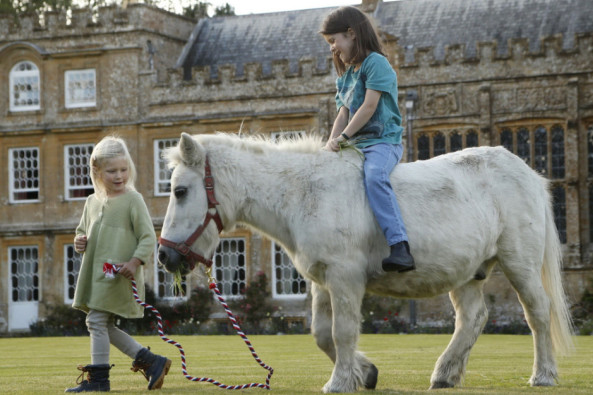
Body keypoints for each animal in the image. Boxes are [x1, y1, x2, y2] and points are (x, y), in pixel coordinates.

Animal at [158, 132, 572, 392]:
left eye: (181, 191)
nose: (164, 255)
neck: (305, 194)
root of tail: (528, 174)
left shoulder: (345, 278)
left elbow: (343, 332)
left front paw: (340, 382)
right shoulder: (323, 281)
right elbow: (322, 333)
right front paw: (365, 373)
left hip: (519, 264)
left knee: (538, 313)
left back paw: (543, 374)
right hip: (469, 273)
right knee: (472, 319)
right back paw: (445, 374)